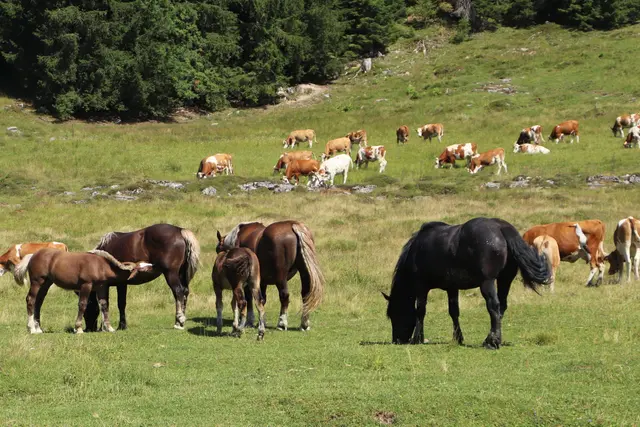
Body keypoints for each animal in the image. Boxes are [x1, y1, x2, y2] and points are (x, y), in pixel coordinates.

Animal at [14, 248, 153, 334]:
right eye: (141, 267)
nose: (152, 265)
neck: (100, 265)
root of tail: (33, 255)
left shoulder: (101, 287)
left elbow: (104, 305)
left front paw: (109, 328)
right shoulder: (86, 286)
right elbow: (83, 305)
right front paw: (78, 328)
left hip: (46, 284)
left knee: (39, 302)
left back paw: (38, 328)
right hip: (37, 282)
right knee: (31, 300)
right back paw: (32, 328)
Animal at [383, 217, 550, 349]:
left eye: (394, 314)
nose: (397, 340)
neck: (416, 250)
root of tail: (501, 228)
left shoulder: (421, 287)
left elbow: (420, 311)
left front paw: (417, 338)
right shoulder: (451, 288)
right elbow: (454, 312)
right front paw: (458, 338)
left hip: (487, 282)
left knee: (494, 306)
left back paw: (492, 342)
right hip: (505, 280)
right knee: (502, 306)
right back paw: (492, 339)